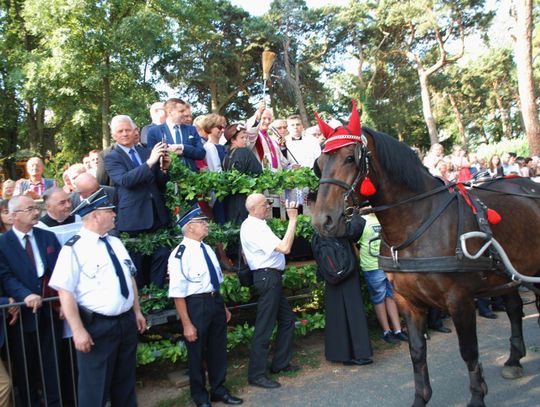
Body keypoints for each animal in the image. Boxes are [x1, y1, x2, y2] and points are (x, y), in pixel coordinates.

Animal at [310, 126, 540, 407]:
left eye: (350, 158)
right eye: (319, 165)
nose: (323, 220)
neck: (416, 222)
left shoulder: (459, 300)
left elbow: (468, 351)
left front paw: (477, 396)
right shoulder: (408, 301)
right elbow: (417, 351)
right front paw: (420, 398)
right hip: (505, 276)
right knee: (515, 309)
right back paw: (514, 360)